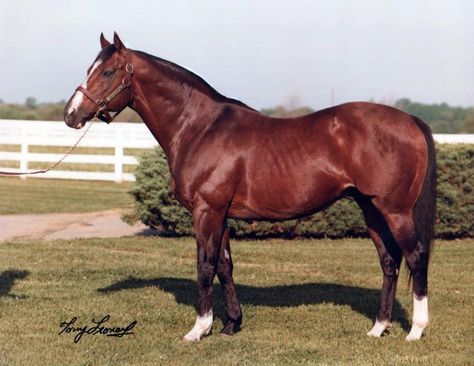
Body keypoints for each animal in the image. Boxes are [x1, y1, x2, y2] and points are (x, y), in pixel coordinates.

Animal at [64, 33, 436, 342]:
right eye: (88, 69)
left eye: (108, 72)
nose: (71, 114)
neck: (200, 127)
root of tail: (410, 120)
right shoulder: (222, 214)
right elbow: (225, 266)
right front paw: (231, 324)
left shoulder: (207, 211)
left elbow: (205, 266)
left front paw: (199, 329)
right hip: (370, 208)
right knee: (389, 261)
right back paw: (378, 328)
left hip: (395, 210)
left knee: (416, 256)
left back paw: (415, 330)